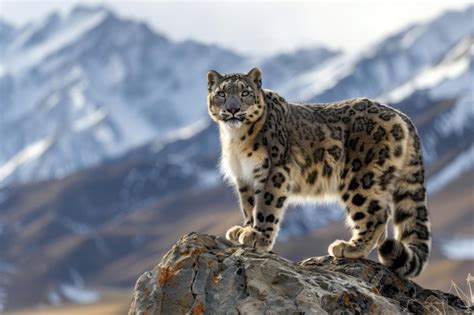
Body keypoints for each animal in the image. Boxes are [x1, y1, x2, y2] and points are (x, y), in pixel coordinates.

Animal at [206, 68, 430, 278]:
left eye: (245, 92)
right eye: (221, 93)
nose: (233, 109)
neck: (236, 138)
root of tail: (401, 115)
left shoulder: (274, 171)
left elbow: (265, 205)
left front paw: (258, 237)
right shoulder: (244, 177)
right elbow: (248, 205)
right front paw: (245, 229)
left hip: (361, 180)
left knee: (376, 216)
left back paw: (350, 248)